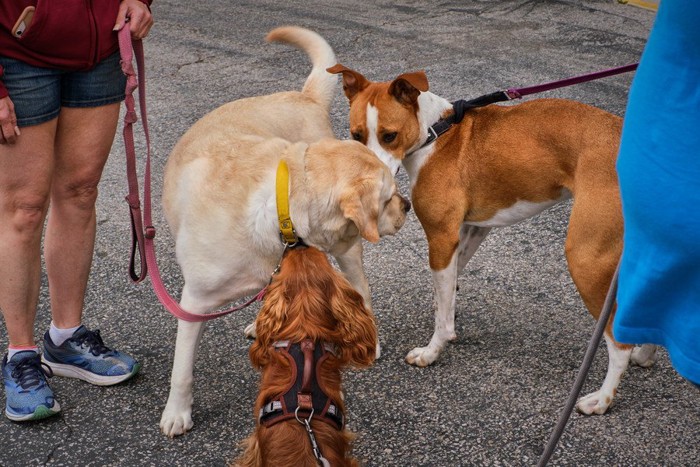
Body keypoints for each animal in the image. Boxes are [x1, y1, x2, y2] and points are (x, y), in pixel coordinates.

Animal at [158, 26, 410, 438]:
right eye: (388, 197)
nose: (406, 206)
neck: (281, 201)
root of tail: (303, 95)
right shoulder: (193, 302)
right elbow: (182, 367)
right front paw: (177, 411)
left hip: (348, 250)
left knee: (362, 290)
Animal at [326, 64, 656, 414]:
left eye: (389, 136)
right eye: (356, 136)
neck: (435, 133)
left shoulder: (441, 238)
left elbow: (442, 312)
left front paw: (432, 351)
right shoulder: (471, 231)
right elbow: (448, 291)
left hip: (585, 258)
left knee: (618, 343)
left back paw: (602, 400)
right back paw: (645, 355)